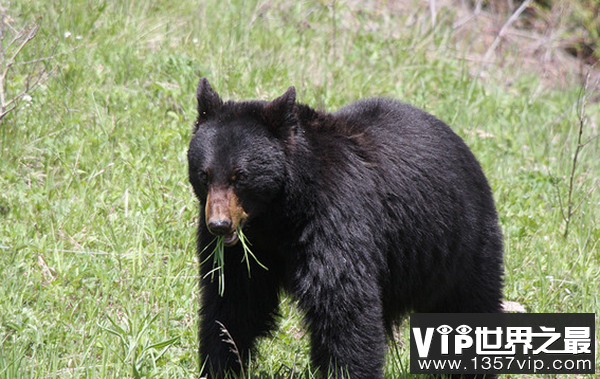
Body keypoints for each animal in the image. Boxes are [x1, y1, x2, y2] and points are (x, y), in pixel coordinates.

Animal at [186, 78, 502, 379]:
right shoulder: (248, 248)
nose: (219, 225)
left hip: (459, 242)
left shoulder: (335, 218)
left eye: (240, 176)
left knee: (470, 304)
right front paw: (219, 366)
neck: (278, 215)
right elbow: (233, 301)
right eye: (205, 174)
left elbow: (342, 302)